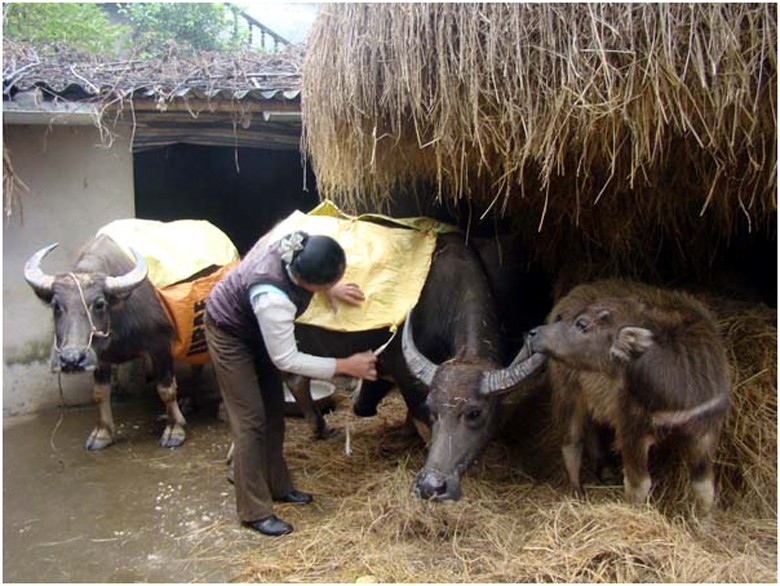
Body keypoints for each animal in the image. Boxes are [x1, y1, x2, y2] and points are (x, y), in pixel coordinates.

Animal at [23, 235, 188, 450]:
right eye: (56, 306)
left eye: (100, 304)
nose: (71, 360)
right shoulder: (98, 356)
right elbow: (100, 393)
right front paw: (103, 433)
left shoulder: (160, 344)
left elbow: (166, 388)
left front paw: (174, 429)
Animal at [286, 233, 548, 498]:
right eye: (432, 407)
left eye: (475, 413)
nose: (432, 484)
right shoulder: (401, 369)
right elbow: (419, 416)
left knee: (298, 378)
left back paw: (321, 427)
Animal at [528, 276, 736, 508]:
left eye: (581, 323)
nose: (535, 333)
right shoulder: (632, 432)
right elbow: (639, 484)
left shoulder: (706, 430)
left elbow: (704, 487)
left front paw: (704, 519)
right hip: (568, 392)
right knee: (571, 442)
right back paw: (577, 491)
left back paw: (605, 470)